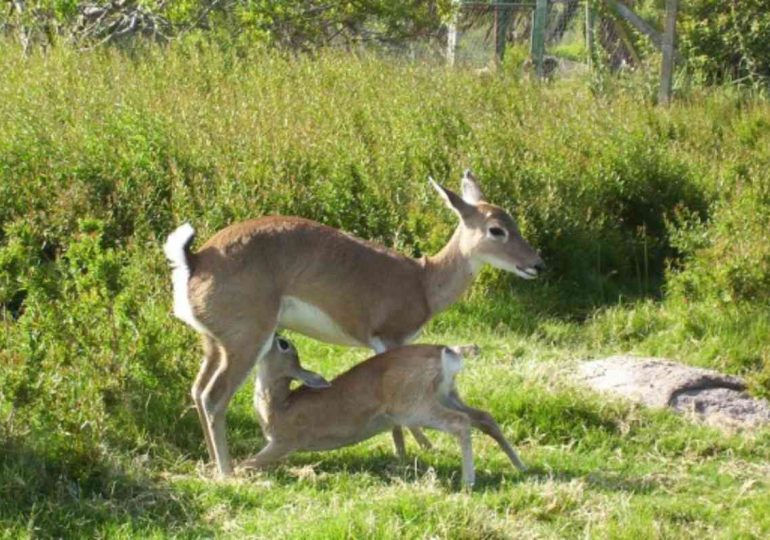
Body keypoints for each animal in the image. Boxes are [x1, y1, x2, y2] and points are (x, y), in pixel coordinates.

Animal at [246, 336, 528, 488]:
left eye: (283, 344)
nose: (275, 332)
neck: (279, 406)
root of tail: (447, 352)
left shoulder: (285, 441)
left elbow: (246, 463)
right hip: (447, 394)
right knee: (483, 417)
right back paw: (521, 466)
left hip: (415, 406)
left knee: (460, 422)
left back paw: (468, 481)